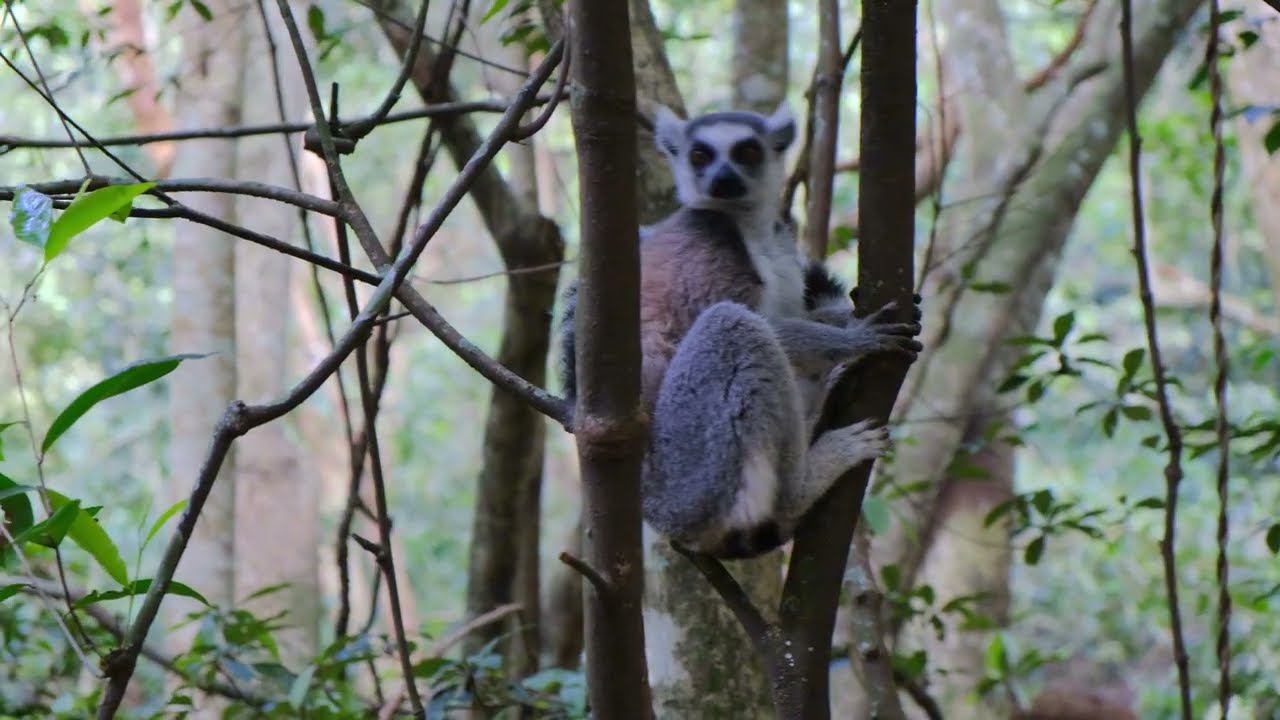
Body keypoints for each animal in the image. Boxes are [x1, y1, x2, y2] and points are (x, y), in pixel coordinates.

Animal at [557, 103, 922, 559]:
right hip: (693, 460)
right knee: (732, 326)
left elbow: (794, 313)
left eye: (747, 152)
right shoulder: (707, 250)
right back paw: (806, 481)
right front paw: (857, 337)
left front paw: (849, 320)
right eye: (700, 155)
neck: (749, 228)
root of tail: (656, 510)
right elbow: (757, 324)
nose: (722, 178)